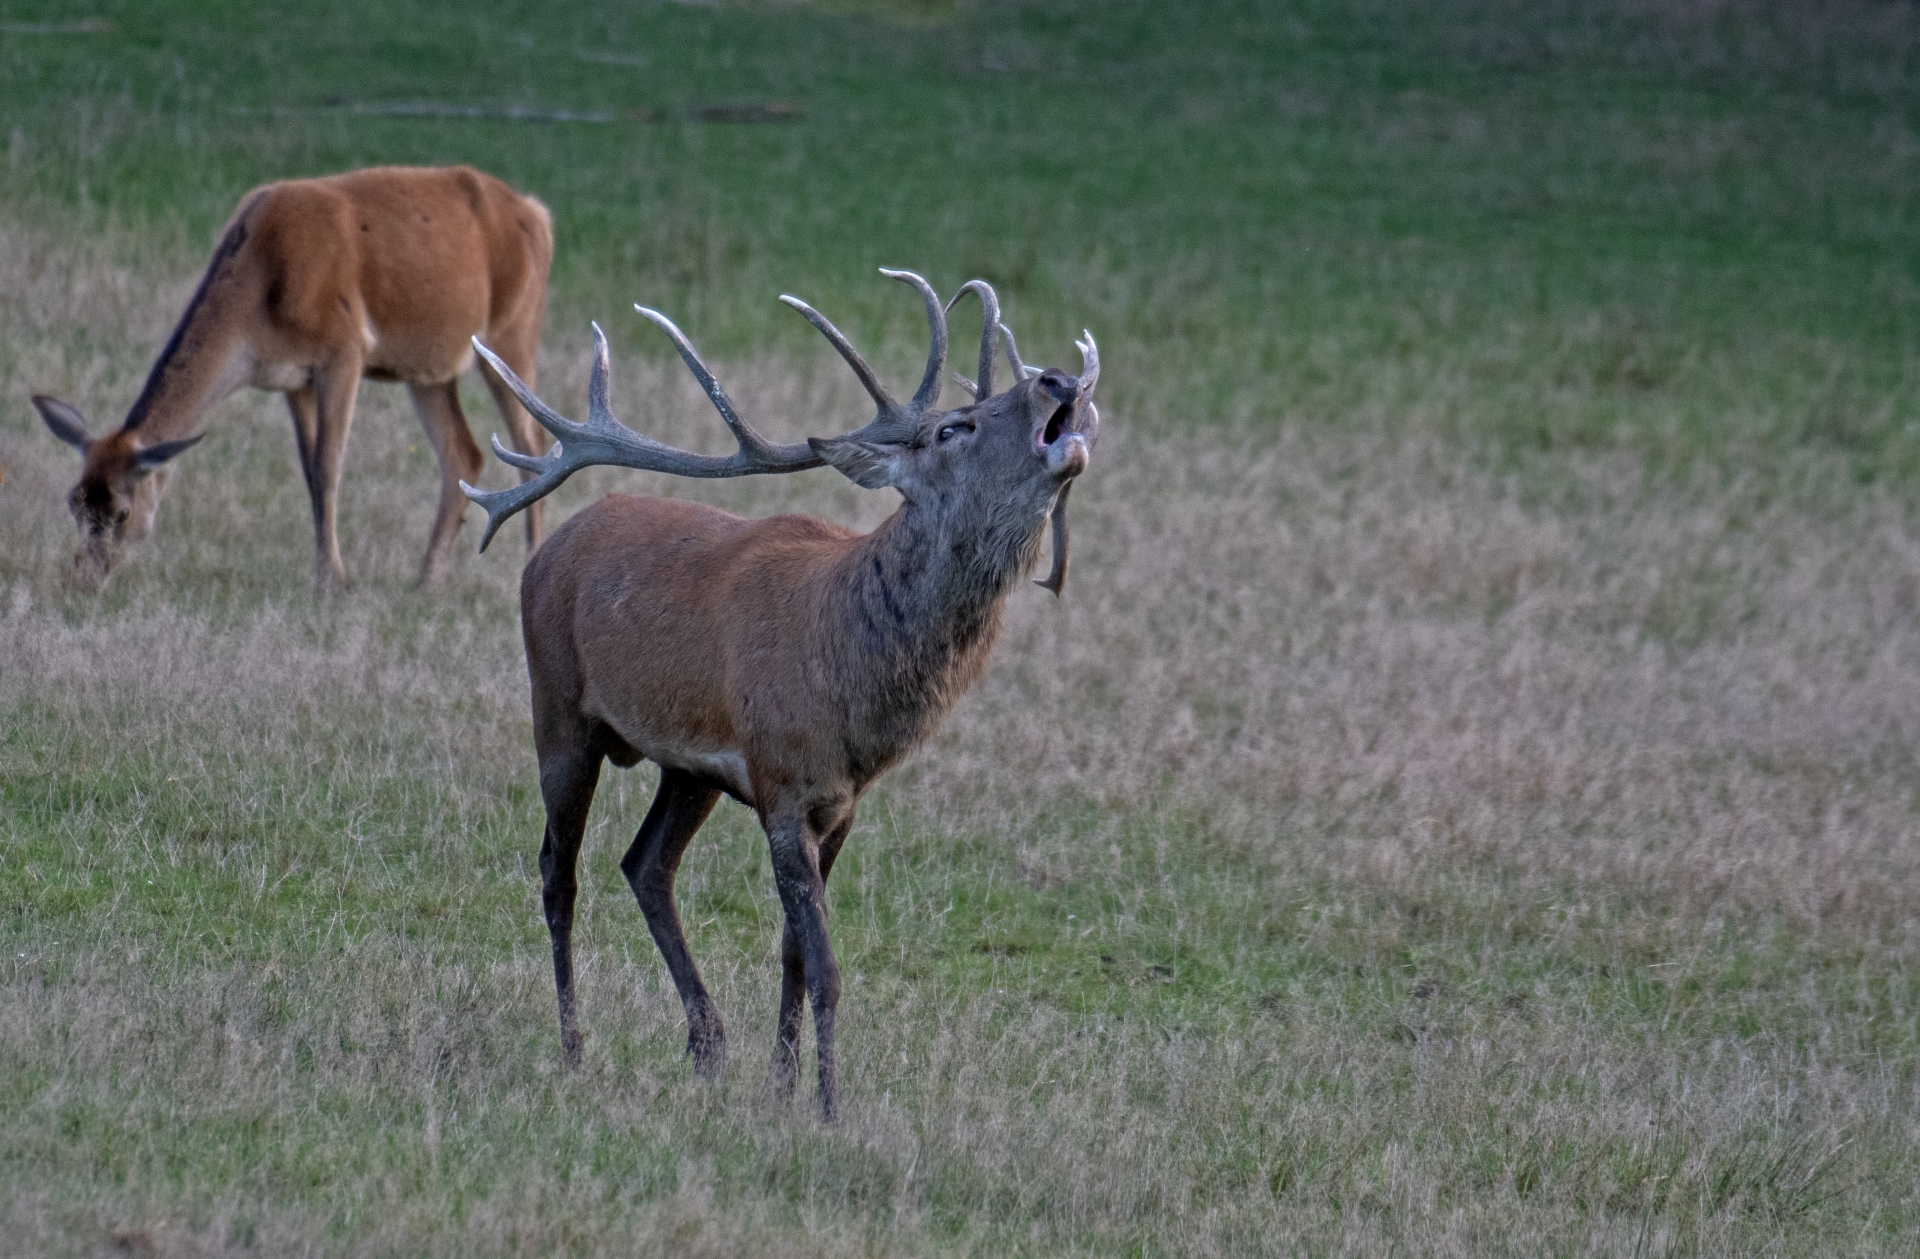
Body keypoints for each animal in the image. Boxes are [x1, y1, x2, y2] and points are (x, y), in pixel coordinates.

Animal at [33, 165, 552, 591]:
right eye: (74, 502)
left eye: (122, 513)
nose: (81, 582)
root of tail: (539, 215)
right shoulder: (292, 377)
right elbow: (308, 472)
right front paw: (324, 572)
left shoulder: (344, 349)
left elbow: (328, 466)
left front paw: (333, 581)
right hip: (428, 365)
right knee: (463, 452)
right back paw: (427, 580)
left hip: (514, 330)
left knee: (533, 442)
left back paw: (529, 563)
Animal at [456, 270, 1105, 1113]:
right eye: (951, 429)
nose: (1058, 379)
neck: (852, 691)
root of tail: (548, 548)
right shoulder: (783, 781)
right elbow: (825, 965)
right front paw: (827, 1105)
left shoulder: (839, 801)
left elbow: (794, 950)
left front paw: (780, 1086)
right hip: (558, 704)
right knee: (556, 872)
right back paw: (574, 1048)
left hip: (686, 768)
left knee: (645, 864)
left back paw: (708, 1043)